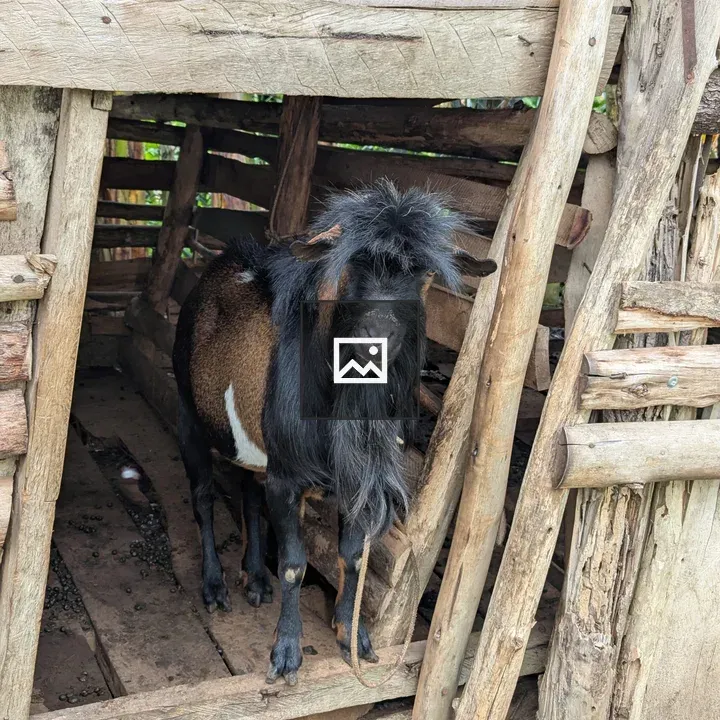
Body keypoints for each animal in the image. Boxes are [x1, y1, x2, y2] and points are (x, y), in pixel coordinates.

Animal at [172, 180, 497, 685]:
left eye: (422, 274)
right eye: (352, 265)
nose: (374, 337)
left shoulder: (353, 479)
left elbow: (353, 556)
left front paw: (353, 637)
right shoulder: (287, 477)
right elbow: (294, 565)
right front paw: (286, 654)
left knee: (247, 491)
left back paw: (255, 579)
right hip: (189, 415)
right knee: (204, 498)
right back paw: (215, 587)